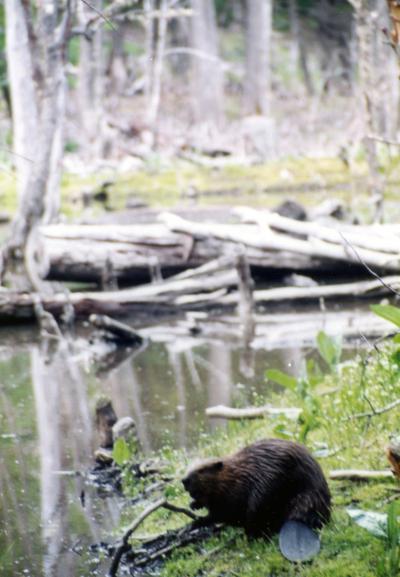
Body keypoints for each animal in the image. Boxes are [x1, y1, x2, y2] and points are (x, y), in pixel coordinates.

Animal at [182, 438, 332, 536]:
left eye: (201, 470)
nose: (184, 480)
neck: (236, 475)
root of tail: (298, 522)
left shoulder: (232, 493)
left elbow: (222, 513)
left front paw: (196, 522)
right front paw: (194, 505)